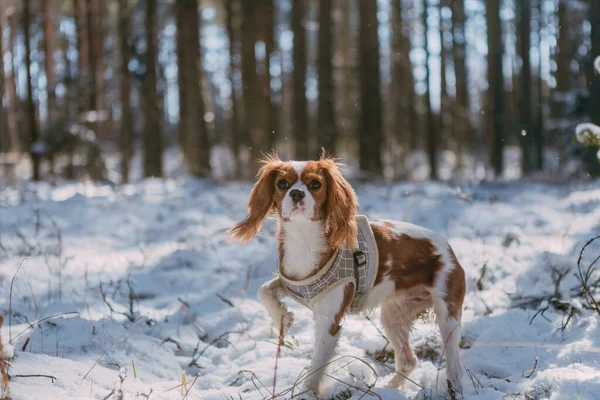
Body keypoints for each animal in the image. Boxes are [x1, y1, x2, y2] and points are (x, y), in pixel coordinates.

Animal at [227, 155, 466, 396]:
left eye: (315, 184)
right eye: (282, 184)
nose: (296, 193)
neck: (303, 237)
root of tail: (448, 246)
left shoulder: (329, 321)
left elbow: (316, 366)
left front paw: (307, 394)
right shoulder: (294, 283)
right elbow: (264, 290)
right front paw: (283, 318)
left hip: (447, 314)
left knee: (454, 364)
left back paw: (454, 388)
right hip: (394, 314)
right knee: (408, 360)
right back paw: (389, 388)